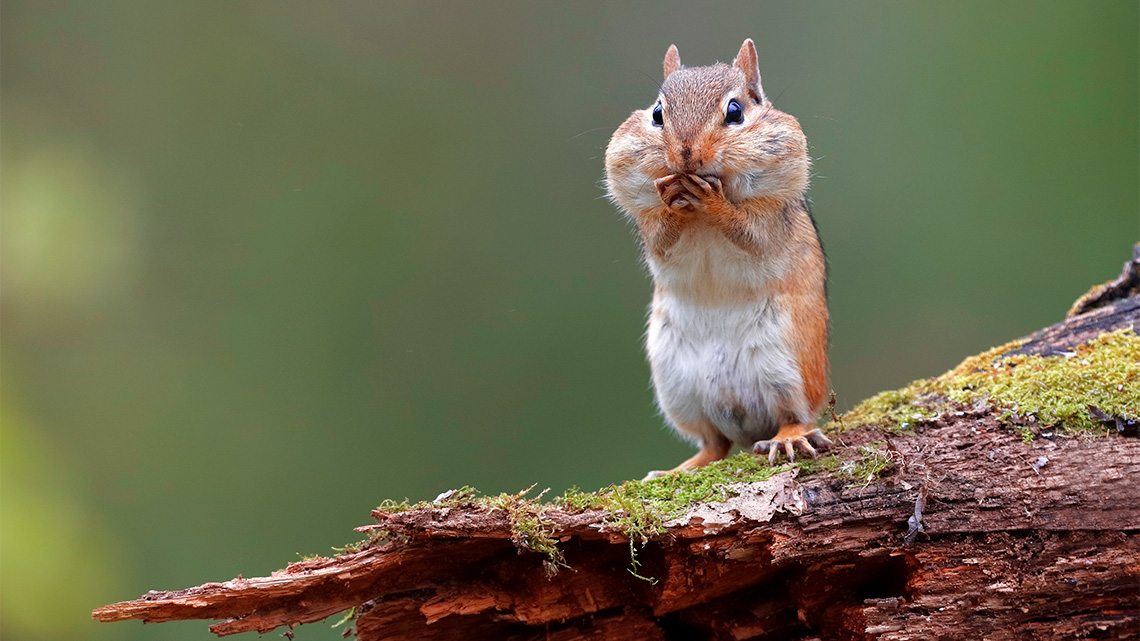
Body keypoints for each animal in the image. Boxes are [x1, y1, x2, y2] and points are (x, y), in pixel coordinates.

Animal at [604, 39, 831, 479]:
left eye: (735, 111)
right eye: (657, 114)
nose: (685, 154)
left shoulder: (769, 219)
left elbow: (749, 231)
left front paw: (712, 201)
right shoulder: (649, 226)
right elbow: (660, 237)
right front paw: (673, 198)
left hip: (789, 366)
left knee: (794, 415)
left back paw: (788, 437)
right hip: (677, 386)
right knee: (714, 443)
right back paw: (678, 469)